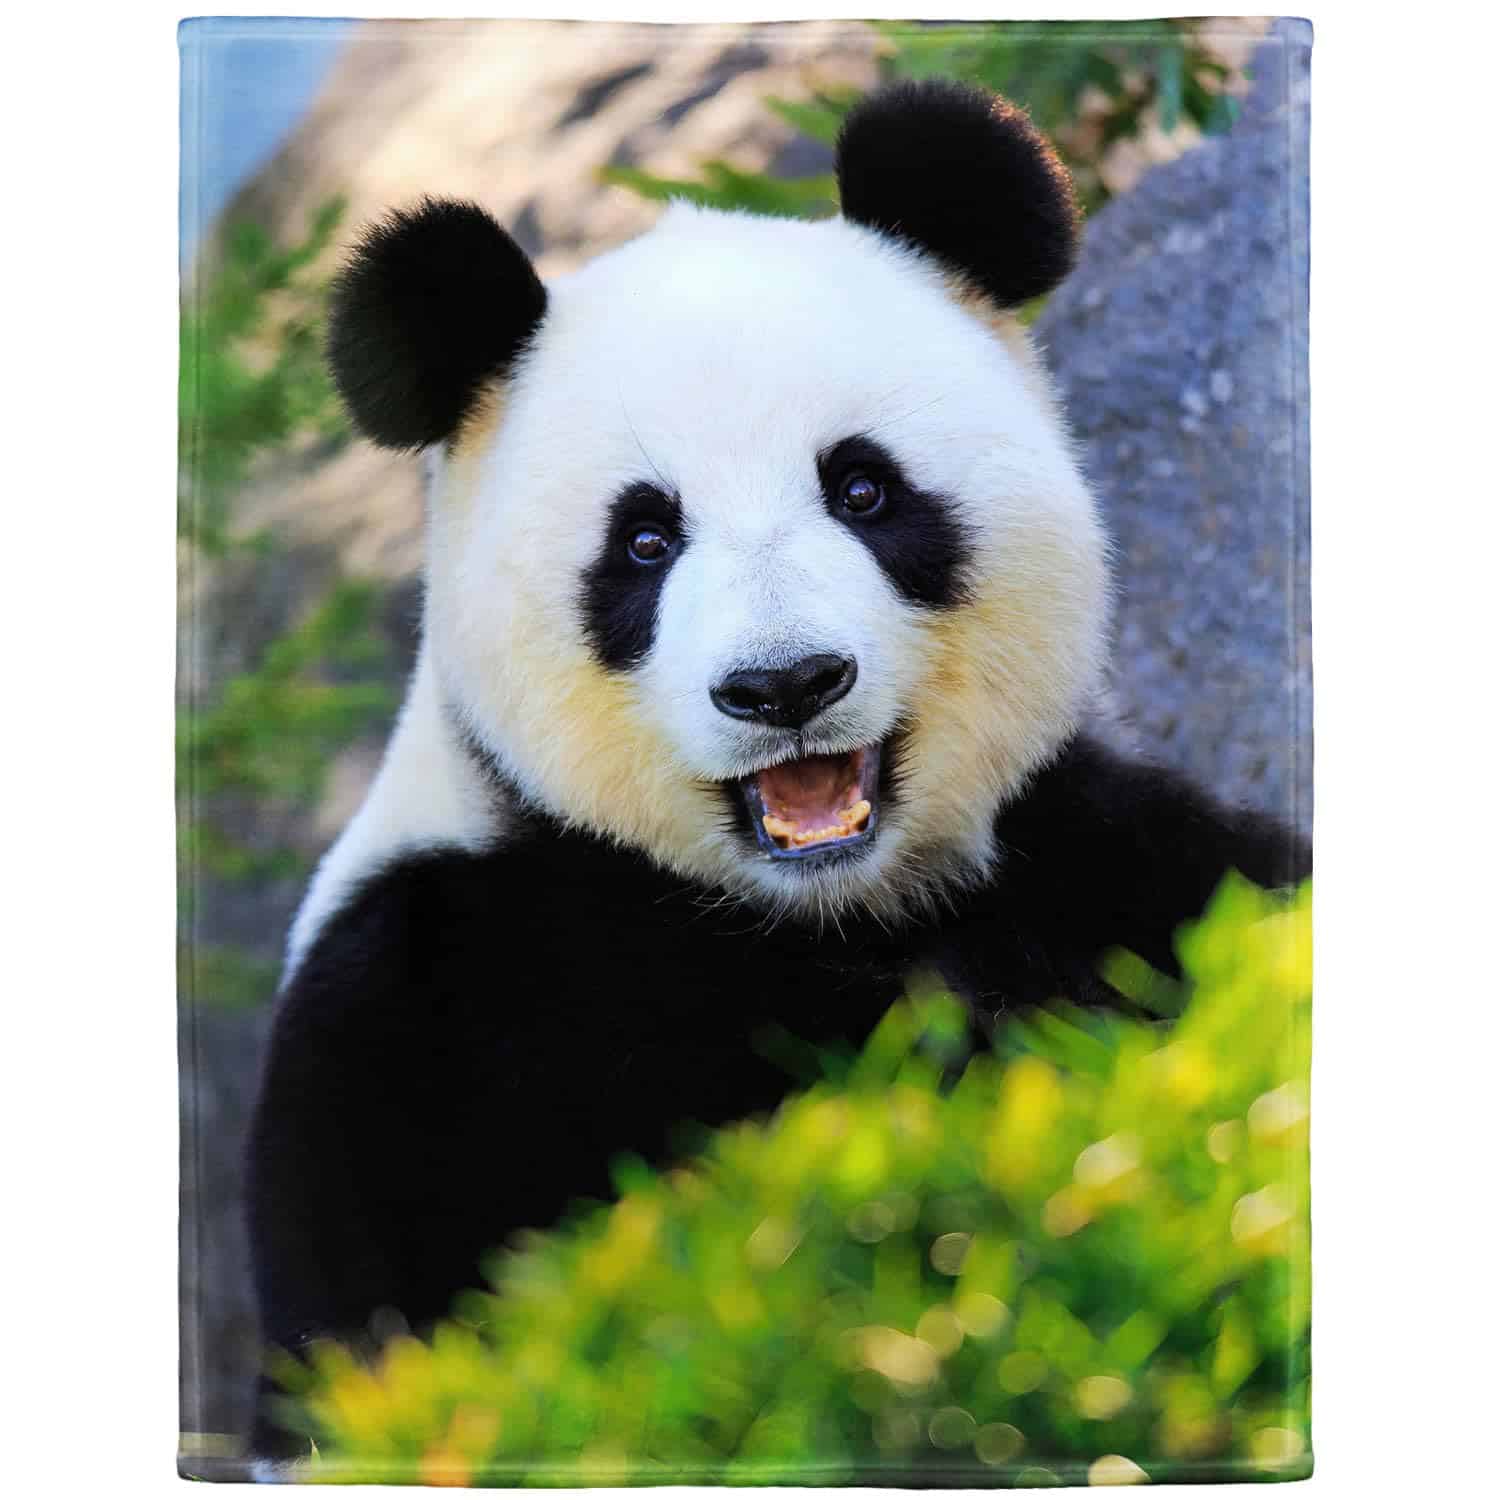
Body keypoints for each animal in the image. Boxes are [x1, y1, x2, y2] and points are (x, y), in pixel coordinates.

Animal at [246, 80, 1308, 1453]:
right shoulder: (429, 1003)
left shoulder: (1093, 856)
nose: (785, 686)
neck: (821, 912)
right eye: (644, 541)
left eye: (862, 489)